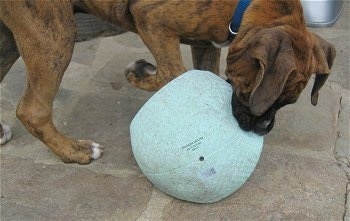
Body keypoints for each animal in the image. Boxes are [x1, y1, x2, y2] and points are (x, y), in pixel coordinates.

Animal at [0, 0, 336, 164]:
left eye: (286, 102)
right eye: (262, 96)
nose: (262, 129)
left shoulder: (205, 44)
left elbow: (200, 75)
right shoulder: (152, 20)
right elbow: (173, 74)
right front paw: (137, 72)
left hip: (11, 40)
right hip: (54, 35)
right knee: (32, 111)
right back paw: (75, 151)